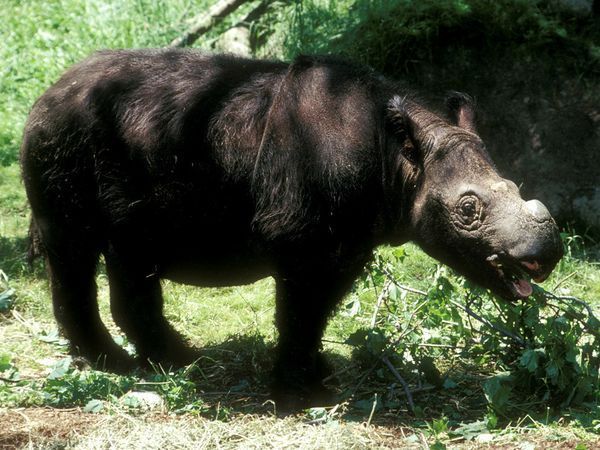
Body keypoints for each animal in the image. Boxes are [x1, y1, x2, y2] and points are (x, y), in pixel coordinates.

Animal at [18, 51, 564, 410]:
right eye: (468, 209)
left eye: (514, 187)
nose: (547, 253)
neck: (397, 160)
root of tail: (46, 92)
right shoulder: (302, 236)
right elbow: (299, 312)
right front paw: (303, 396)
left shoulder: (348, 241)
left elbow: (316, 313)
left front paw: (320, 376)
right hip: (62, 133)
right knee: (73, 247)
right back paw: (114, 364)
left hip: (132, 141)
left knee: (131, 249)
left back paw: (173, 361)